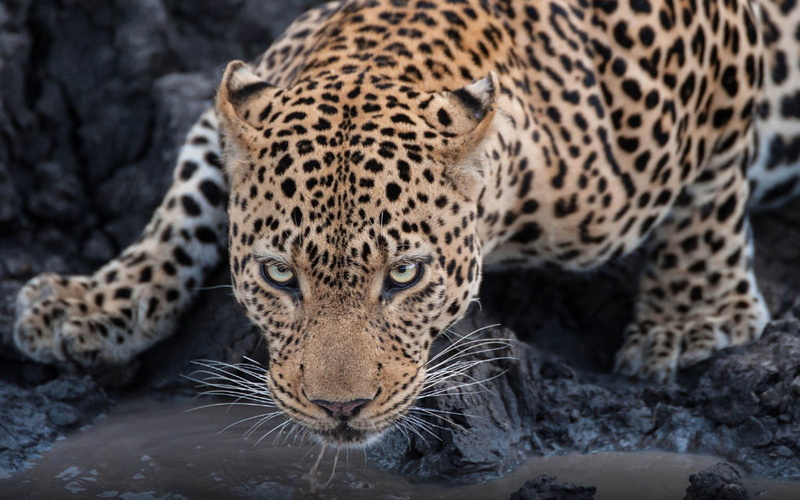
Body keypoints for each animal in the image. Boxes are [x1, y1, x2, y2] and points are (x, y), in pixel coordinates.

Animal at [12, 0, 800, 446]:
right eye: (278, 275)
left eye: (405, 276)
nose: (341, 409)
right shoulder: (226, 118)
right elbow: (182, 206)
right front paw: (92, 303)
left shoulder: (717, 47)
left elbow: (710, 189)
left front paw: (694, 318)